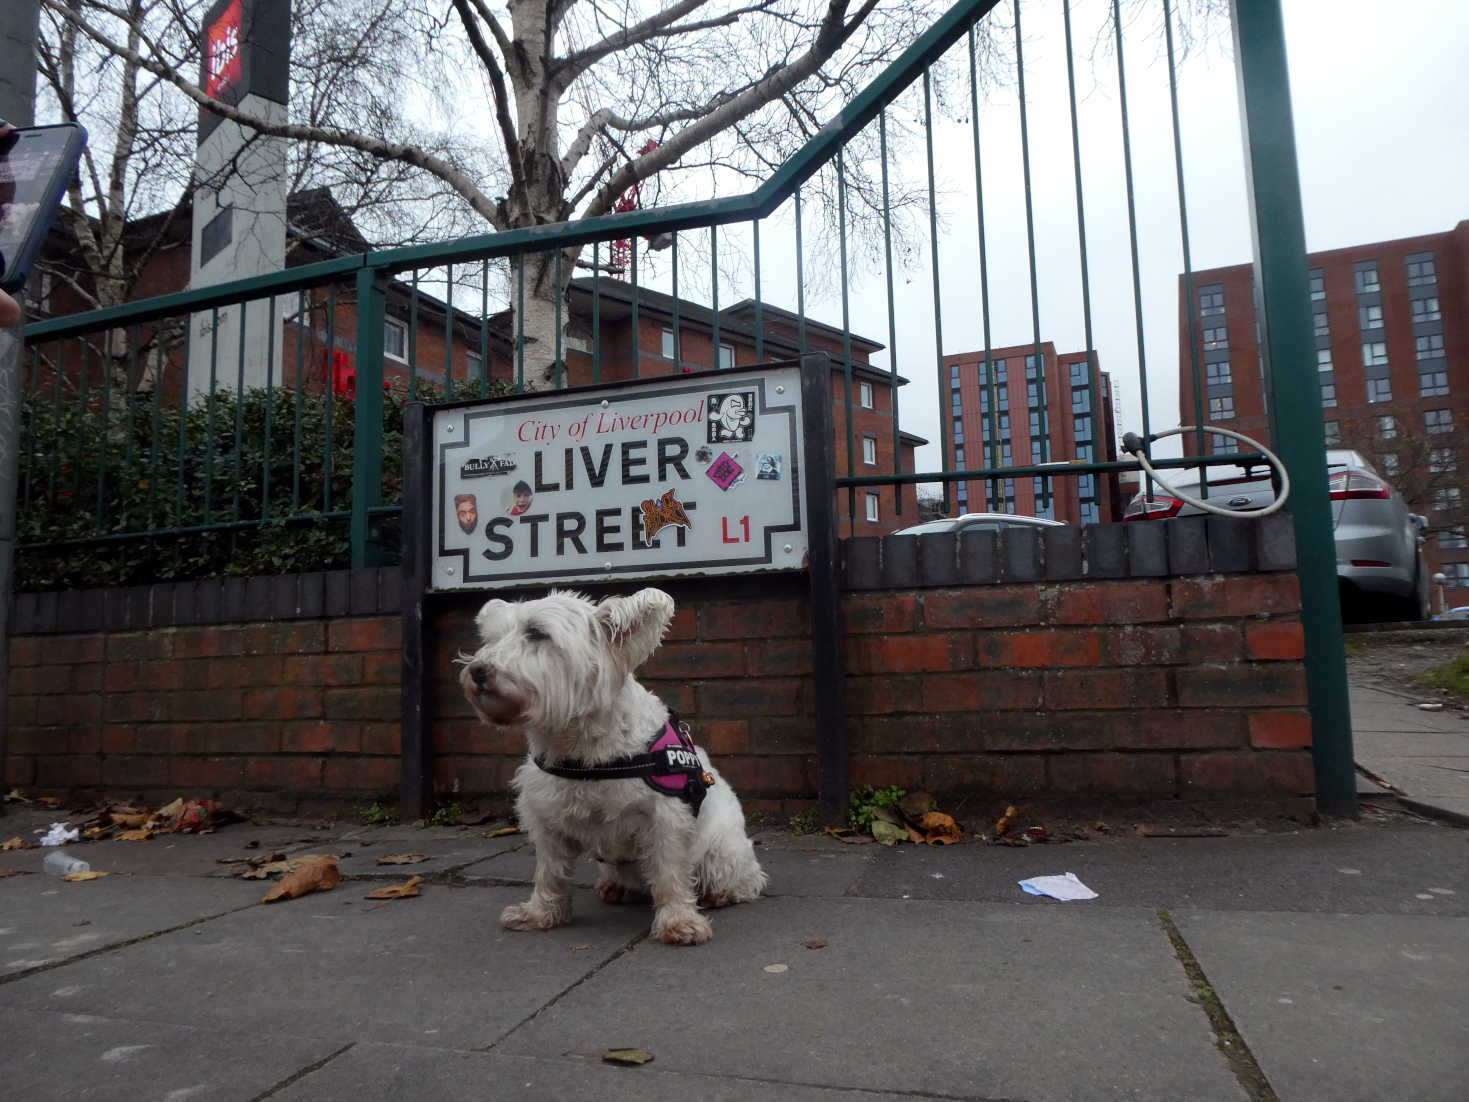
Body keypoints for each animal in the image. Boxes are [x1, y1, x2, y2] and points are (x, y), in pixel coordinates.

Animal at [461, 590, 769, 946]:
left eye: (537, 633)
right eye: (492, 638)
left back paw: (719, 894)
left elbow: (670, 871)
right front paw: (539, 914)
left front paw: (679, 921)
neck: (582, 747)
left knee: (742, 879)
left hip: (723, 850)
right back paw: (616, 887)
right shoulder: (547, 815)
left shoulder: (666, 817)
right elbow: (549, 871)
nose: (477, 671)